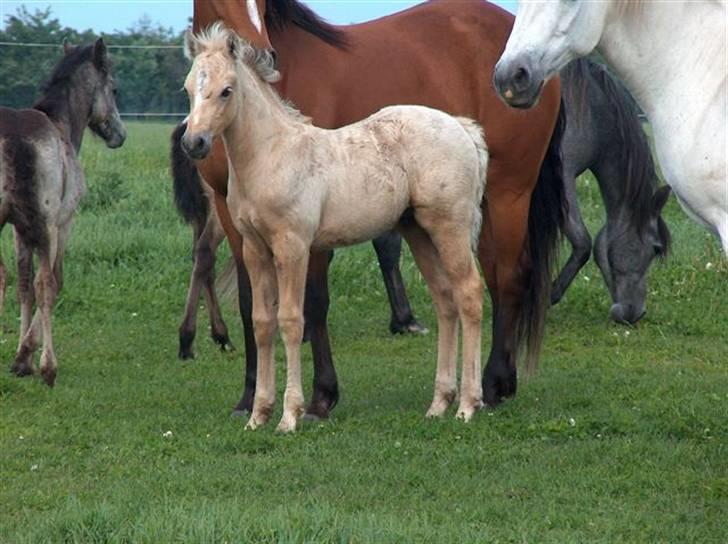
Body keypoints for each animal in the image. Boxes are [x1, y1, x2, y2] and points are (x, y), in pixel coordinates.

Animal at [0, 40, 126, 384]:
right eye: (114, 88)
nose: (119, 134)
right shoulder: (61, 224)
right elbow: (52, 283)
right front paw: (29, 358)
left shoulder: (19, 230)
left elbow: (24, 286)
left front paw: (23, 359)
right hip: (48, 227)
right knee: (45, 284)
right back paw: (49, 367)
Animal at [189, 0, 564, 416]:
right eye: (188, 88)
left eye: (226, 91)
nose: (194, 141)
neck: (274, 148)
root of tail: (463, 128)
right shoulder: (240, 226)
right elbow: (253, 309)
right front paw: (252, 401)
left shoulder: (299, 241)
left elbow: (306, 308)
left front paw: (315, 401)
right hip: (441, 223)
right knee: (466, 289)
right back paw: (464, 394)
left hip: (502, 195)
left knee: (499, 280)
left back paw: (485, 390)